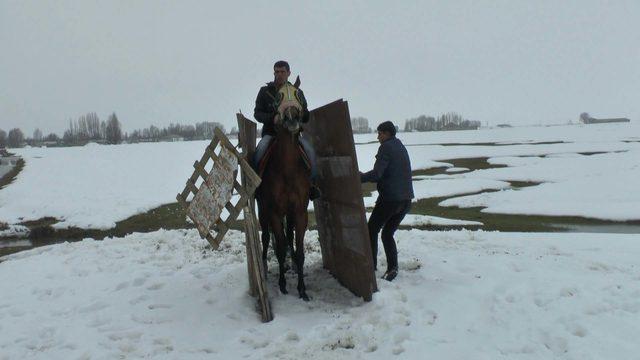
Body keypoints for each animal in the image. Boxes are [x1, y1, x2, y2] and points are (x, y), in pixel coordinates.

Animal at [258, 93, 312, 300]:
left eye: (300, 95)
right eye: (277, 99)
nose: (292, 118)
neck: (287, 169)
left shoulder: (300, 212)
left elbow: (300, 249)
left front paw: (302, 289)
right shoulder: (273, 212)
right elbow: (280, 250)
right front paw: (282, 284)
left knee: (289, 235)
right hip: (263, 211)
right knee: (266, 237)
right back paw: (264, 266)